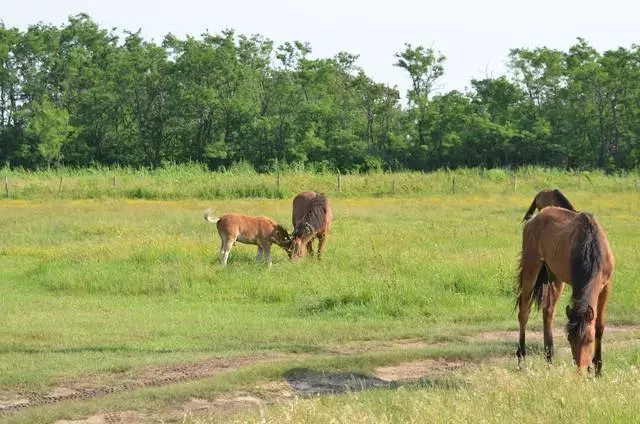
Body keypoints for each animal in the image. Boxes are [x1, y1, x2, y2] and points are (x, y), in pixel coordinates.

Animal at [516, 207, 616, 376]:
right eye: (569, 339)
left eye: (590, 340)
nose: (581, 370)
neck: (591, 248)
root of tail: (534, 219)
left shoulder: (606, 287)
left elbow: (599, 326)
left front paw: (598, 369)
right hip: (531, 267)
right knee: (524, 312)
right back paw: (521, 358)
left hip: (555, 276)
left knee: (548, 312)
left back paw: (549, 358)